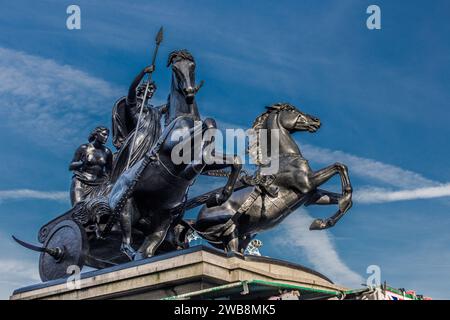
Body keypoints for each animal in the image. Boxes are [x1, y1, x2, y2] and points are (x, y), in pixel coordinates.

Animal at [109, 50, 243, 260]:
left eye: (192, 65)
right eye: (175, 68)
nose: (189, 91)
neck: (184, 118)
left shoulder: (212, 160)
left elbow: (233, 160)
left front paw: (220, 196)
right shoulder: (173, 147)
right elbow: (208, 127)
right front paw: (192, 169)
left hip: (163, 217)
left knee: (148, 247)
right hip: (125, 206)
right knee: (125, 244)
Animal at [193, 102, 352, 252]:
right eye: (291, 109)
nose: (316, 120)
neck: (285, 157)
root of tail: (196, 219)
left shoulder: (311, 196)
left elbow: (340, 195)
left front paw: (323, 221)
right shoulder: (307, 183)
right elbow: (339, 166)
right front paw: (321, 223)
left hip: (243, 235)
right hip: (229, 230)